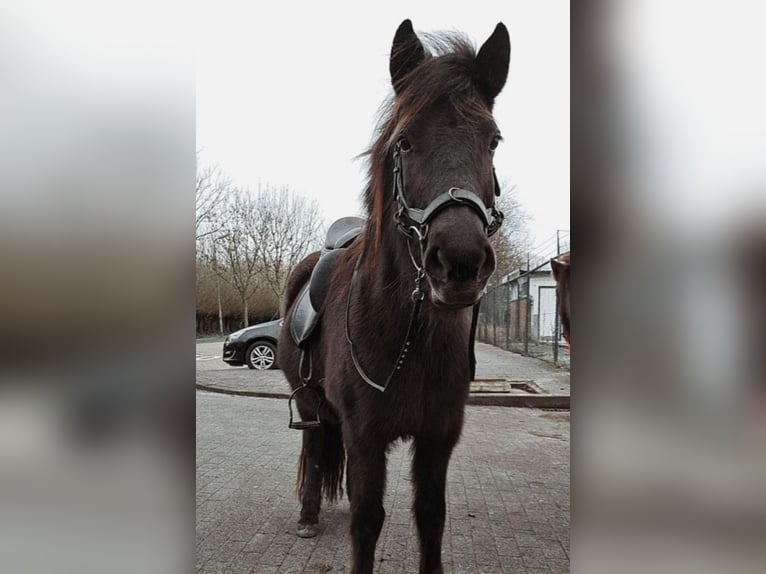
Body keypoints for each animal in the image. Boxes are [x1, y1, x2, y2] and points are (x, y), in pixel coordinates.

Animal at [280, 20, 512, 574]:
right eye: (404, 142)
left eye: (493, 140)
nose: (460, 263)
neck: (407, 335)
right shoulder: (366, 436)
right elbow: (368, 520)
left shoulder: (439, 436)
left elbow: (430, 516)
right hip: (309, 400)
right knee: (315, 448)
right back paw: (308, 515)